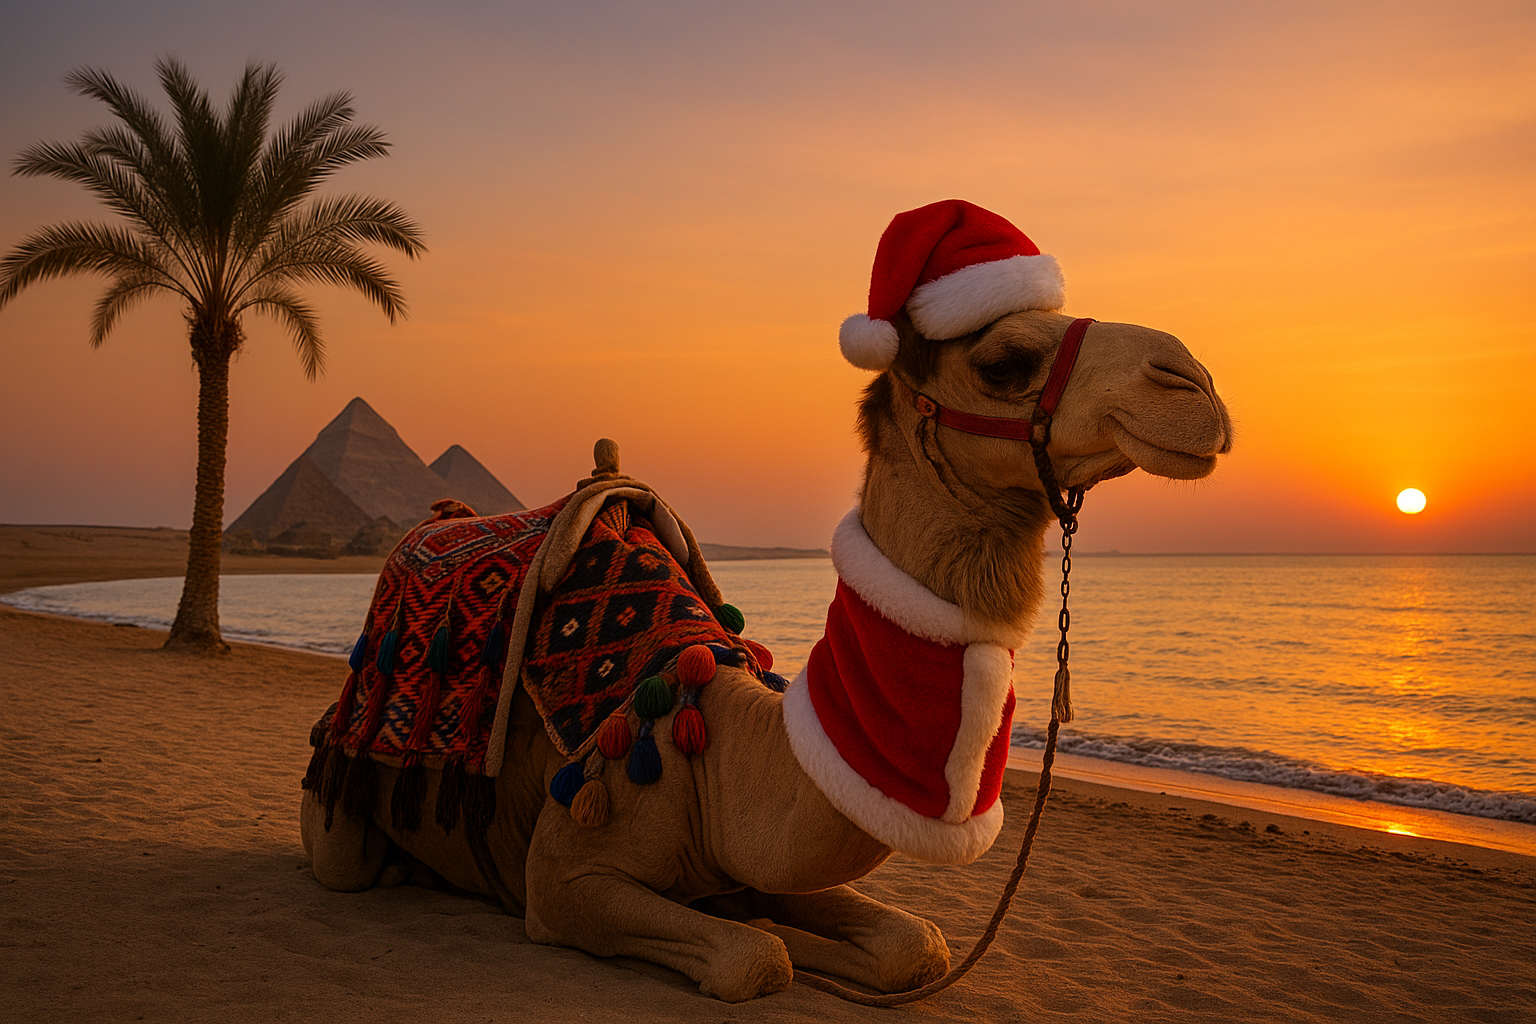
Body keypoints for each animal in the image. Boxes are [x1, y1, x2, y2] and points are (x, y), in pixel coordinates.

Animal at [300, 201, 1231, 1002]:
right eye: (1003, 362)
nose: (1196, 385)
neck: (715, 758)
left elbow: (912, 943)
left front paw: (807, 934)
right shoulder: (565, 877)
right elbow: (753, 958)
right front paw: (769, 937)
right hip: (337, 817)